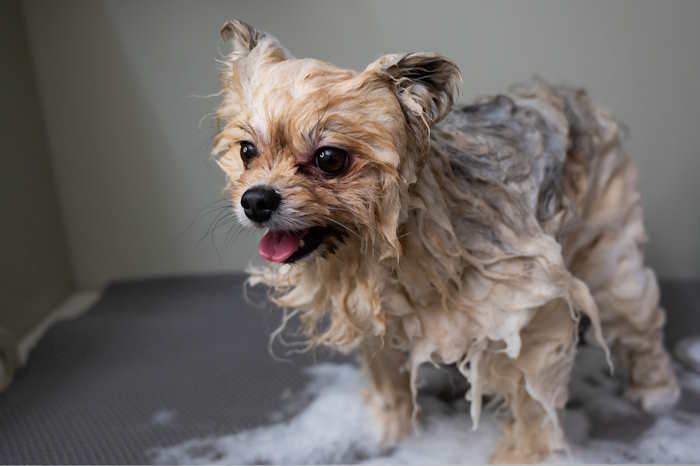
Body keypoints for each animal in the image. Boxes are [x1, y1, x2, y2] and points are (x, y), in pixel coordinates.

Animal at [213, 19, 680, 462]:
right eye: (247, 151)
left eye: (330, 159)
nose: (256, 200)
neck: (404, 250)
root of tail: (572, 94)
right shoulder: (374, 321)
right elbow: (389, 381)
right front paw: (390, 434)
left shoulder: (532, 309)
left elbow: (533, 403)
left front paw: (525, 455)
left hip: (612, 258)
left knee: (640, 317)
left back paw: (655, 391)